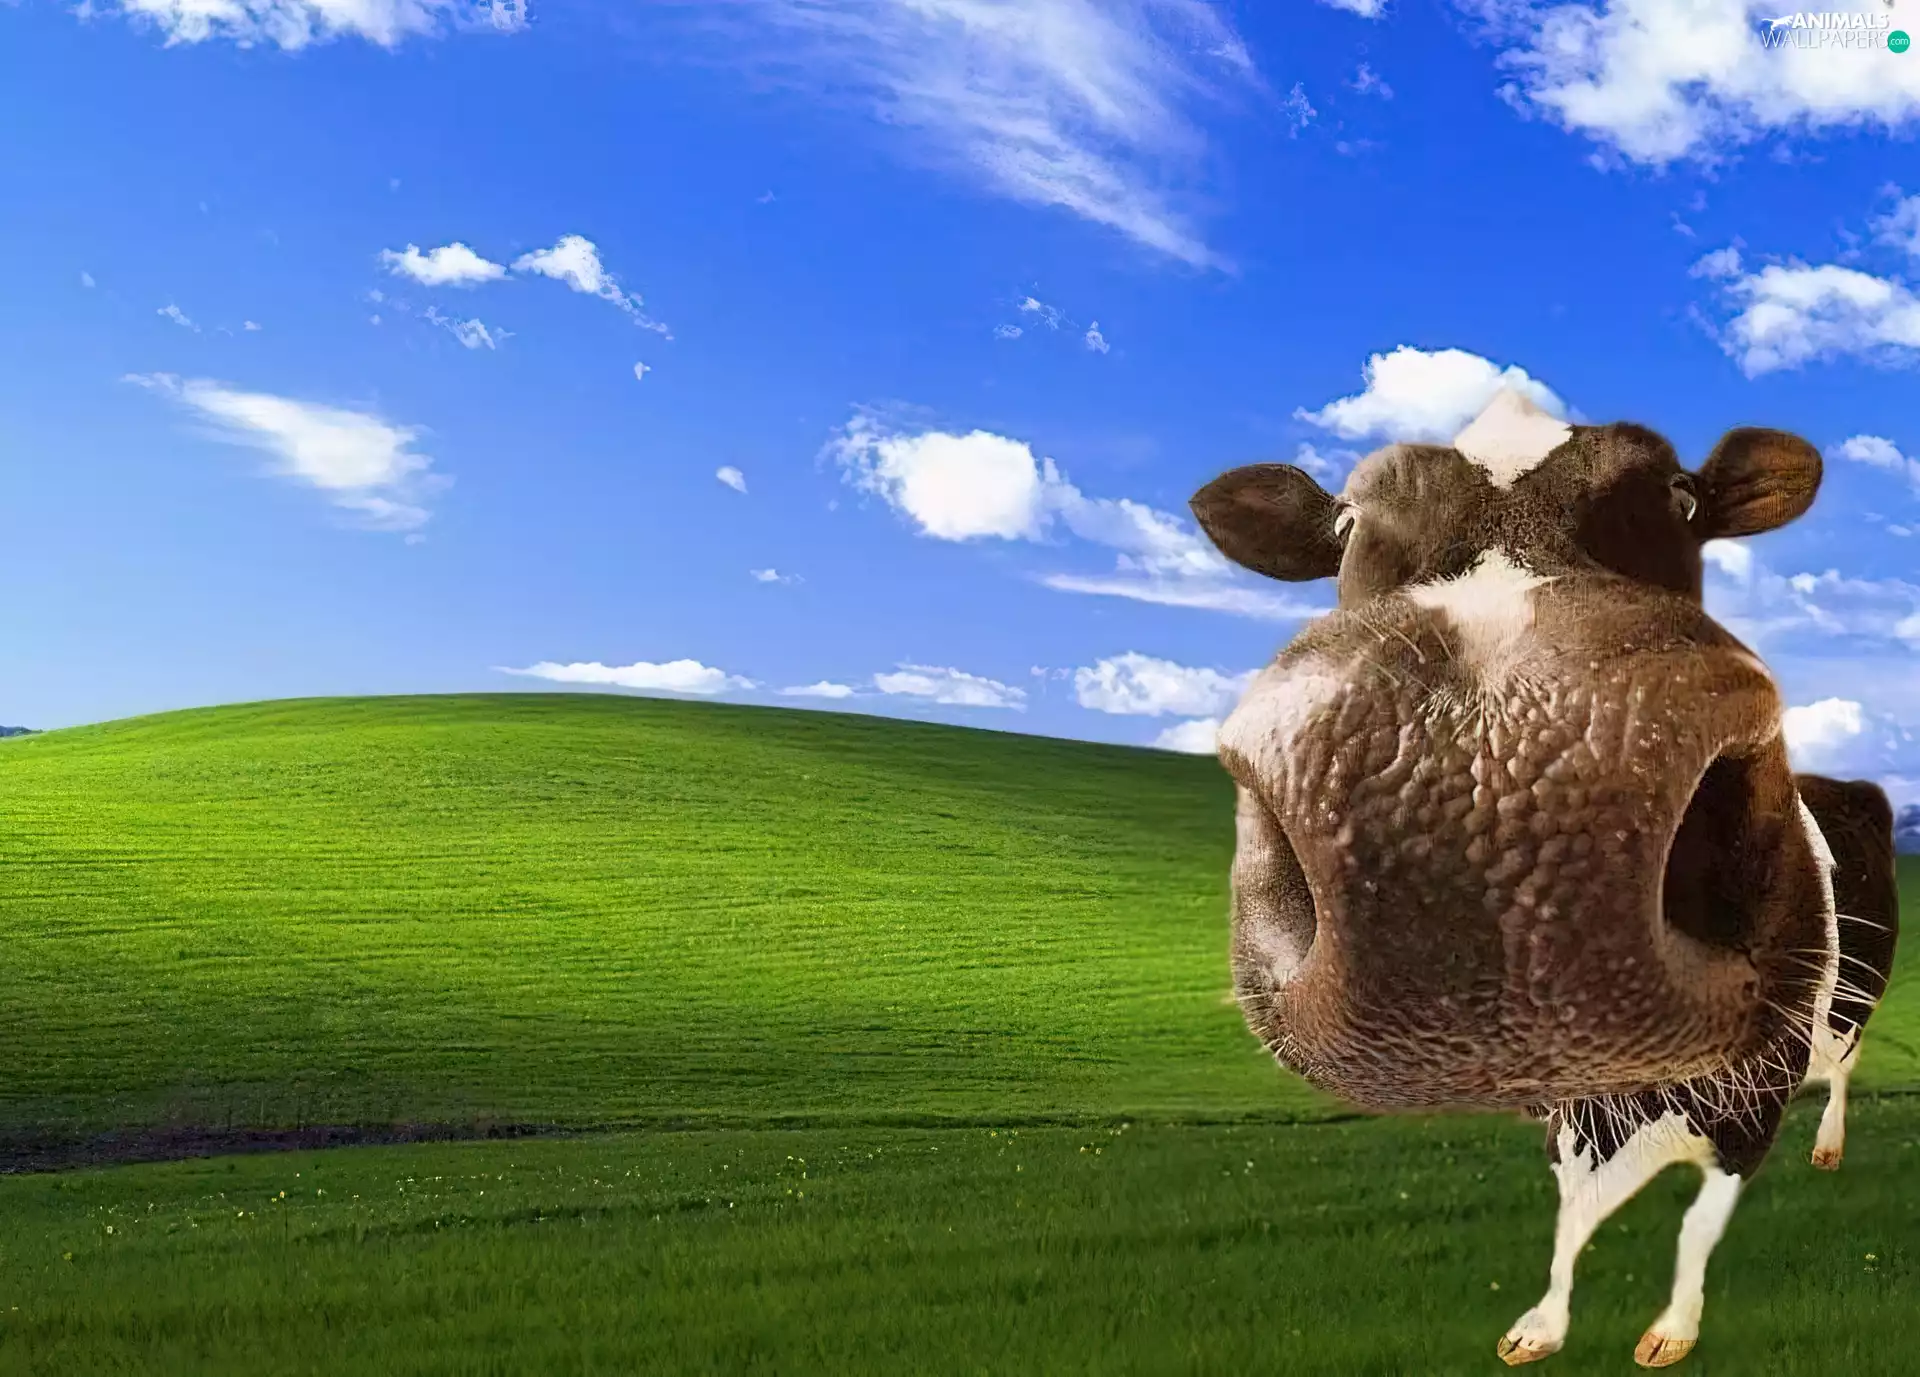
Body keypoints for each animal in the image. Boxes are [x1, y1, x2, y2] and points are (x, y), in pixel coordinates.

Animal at [1188, 388, 1901, 1368]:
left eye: (1681, 496)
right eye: (1344, 525)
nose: (1485, 790)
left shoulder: (1756, 1095)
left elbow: (1696, 1228)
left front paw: (1671, 1329)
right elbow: (1569, 1220)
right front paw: (1543, 1323)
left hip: (1848, 997)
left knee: (1844, 1061)